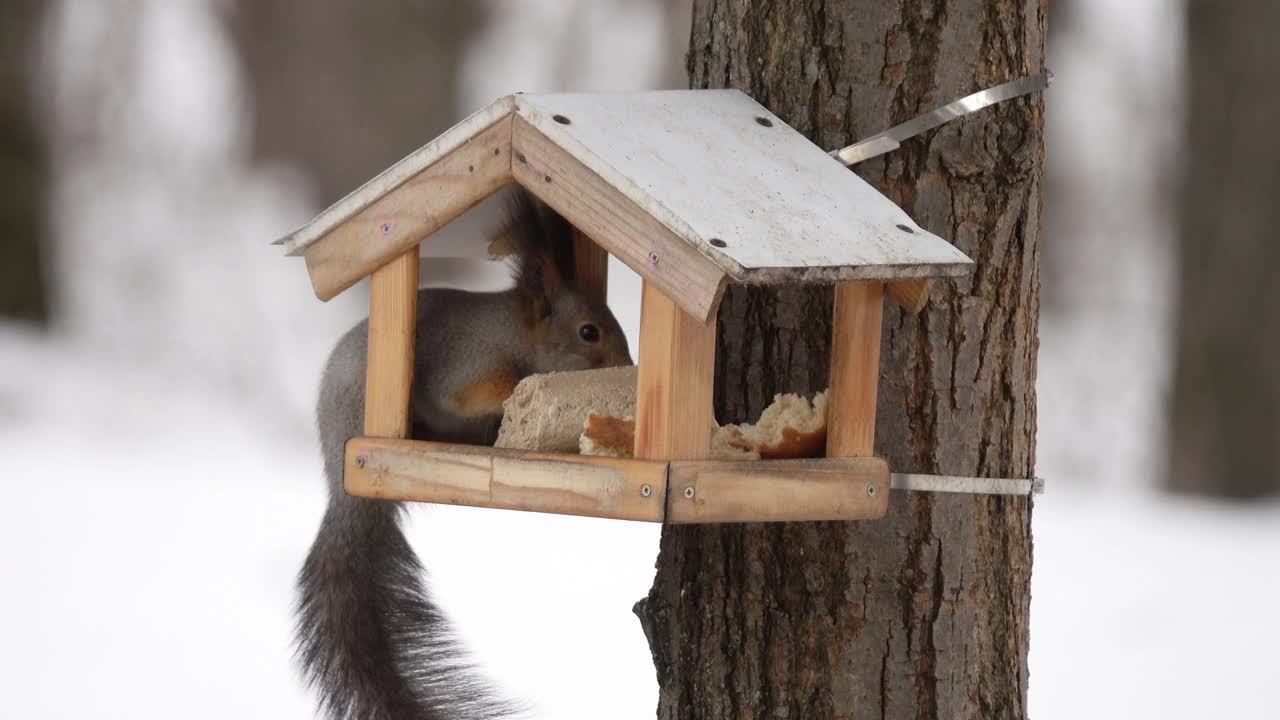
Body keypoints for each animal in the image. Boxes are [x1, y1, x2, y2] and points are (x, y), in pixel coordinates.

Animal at [300, 188, 640, 712]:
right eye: (590, 332)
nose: (628, 363)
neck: (516, 334)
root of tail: (342, 489)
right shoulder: (465, 363)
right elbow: (472, 393)